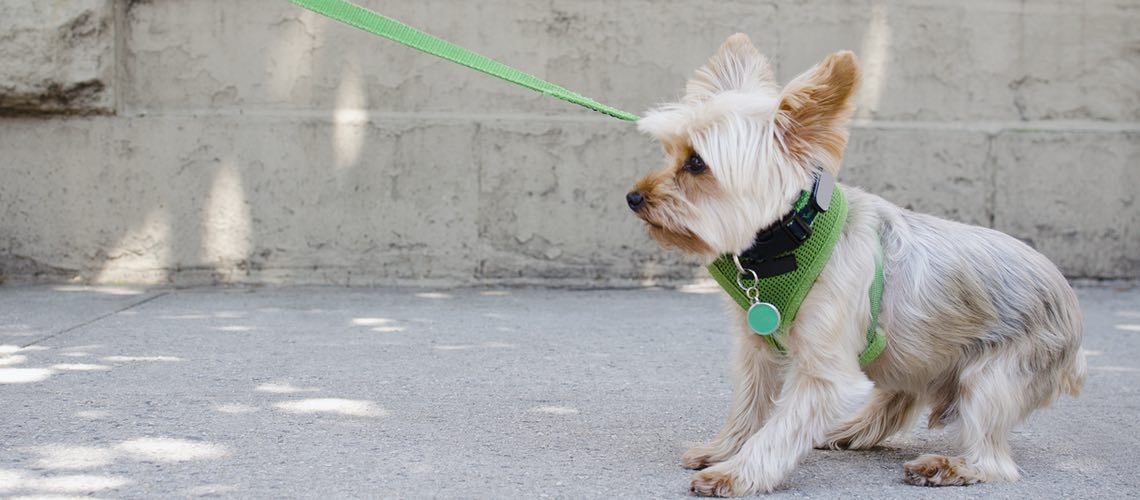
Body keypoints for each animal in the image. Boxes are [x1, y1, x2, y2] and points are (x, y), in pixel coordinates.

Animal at [629, 34, 1080, 496]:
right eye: (671, 153)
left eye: (697, 163)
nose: (634, 197)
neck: (789, 238)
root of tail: (1067, 297)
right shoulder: (757, 350)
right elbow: (750, 404)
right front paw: (724, 448)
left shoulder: (824, 372)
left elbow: (782, 428)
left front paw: (737, 472)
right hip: (916, 353)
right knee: (900, 398)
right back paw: (849, 432)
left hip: (996, 374)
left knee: (993, 458)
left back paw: (947, 467)